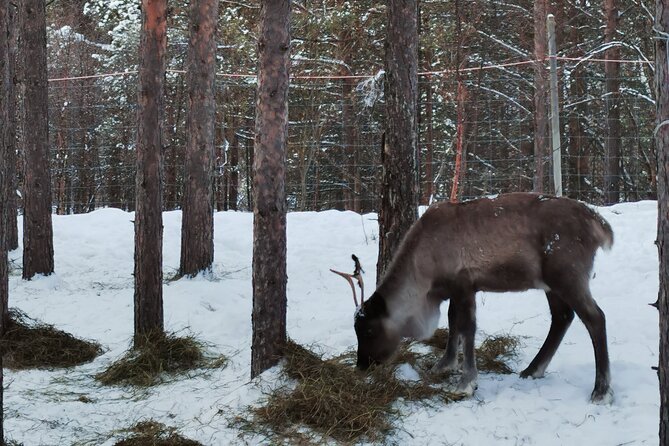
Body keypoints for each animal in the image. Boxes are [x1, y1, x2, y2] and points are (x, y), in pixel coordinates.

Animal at [331, 192, 614, 403]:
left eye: (368, 330)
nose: (361, 365)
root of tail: (599, 224)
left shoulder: (465, 285)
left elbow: (467, 328)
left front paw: (466, 384)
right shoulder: (454, 291)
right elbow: (452, 322)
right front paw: (444, 365)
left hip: (567, 275)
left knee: (595, 317)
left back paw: (600, 391)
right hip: (550, 284)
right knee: (562, 316)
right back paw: (532, 370)